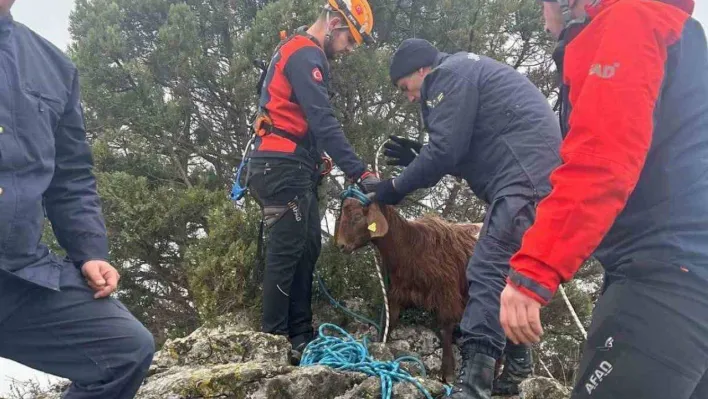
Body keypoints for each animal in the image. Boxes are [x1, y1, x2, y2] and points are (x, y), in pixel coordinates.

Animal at [336, 198, 482, 382]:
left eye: (356, 216)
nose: (341, 245)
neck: (410, 247)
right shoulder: (396, 291)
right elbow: (390, 320)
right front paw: (379, 349)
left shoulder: (447, 294)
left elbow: (445, 329)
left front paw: (448, 373)